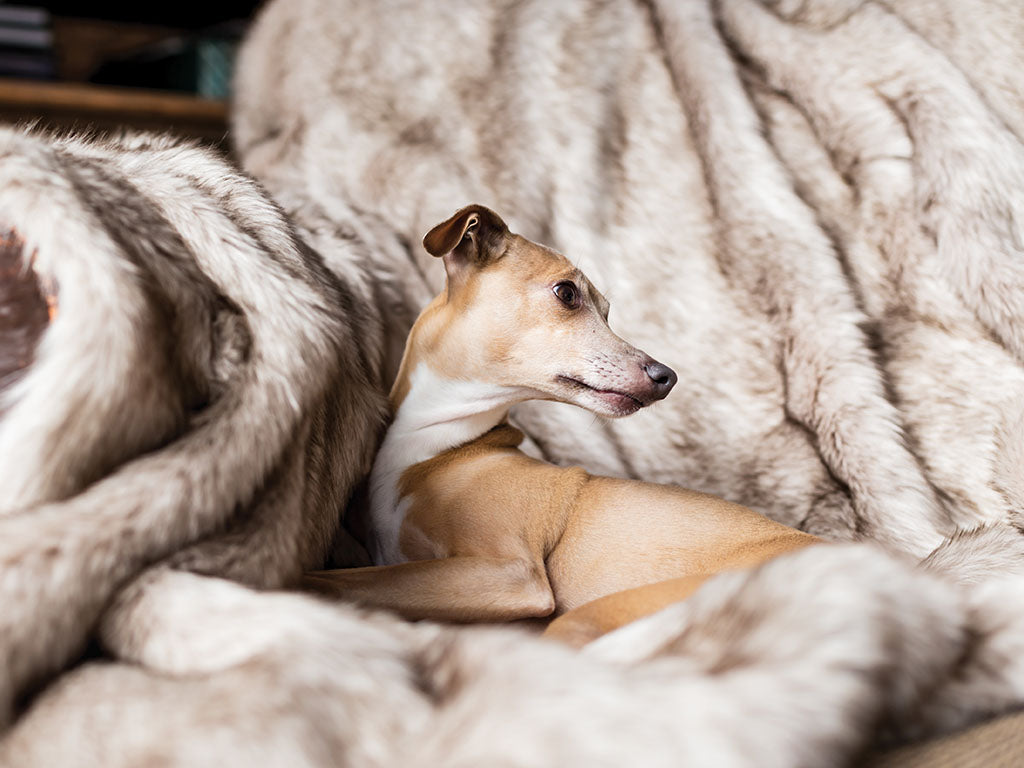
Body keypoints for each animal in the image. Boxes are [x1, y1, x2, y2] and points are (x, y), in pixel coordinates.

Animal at [303, 204, 815, 643]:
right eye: (568, 294)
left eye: (606, 310)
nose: (666, 377)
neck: (437, 443)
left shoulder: (512, 573)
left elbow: (340, 580)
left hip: (589, 616)